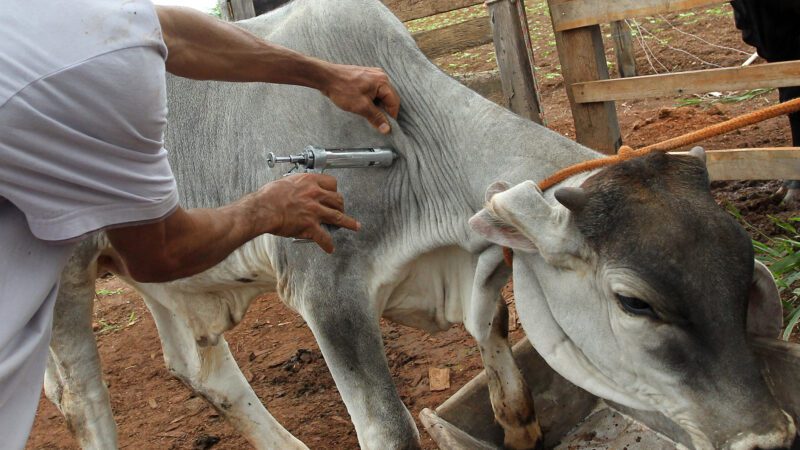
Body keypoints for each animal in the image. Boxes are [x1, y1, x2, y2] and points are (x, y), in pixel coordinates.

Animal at [47, 0, 796, 450]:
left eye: (741, 275)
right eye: (633, 302)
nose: (766, 436)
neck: (409, 146)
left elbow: (500, 353)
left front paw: (517, 425)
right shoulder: (330, 295)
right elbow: (389, 428)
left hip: (159, 266)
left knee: (199, 369)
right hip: (69, 271)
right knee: (81, 396)